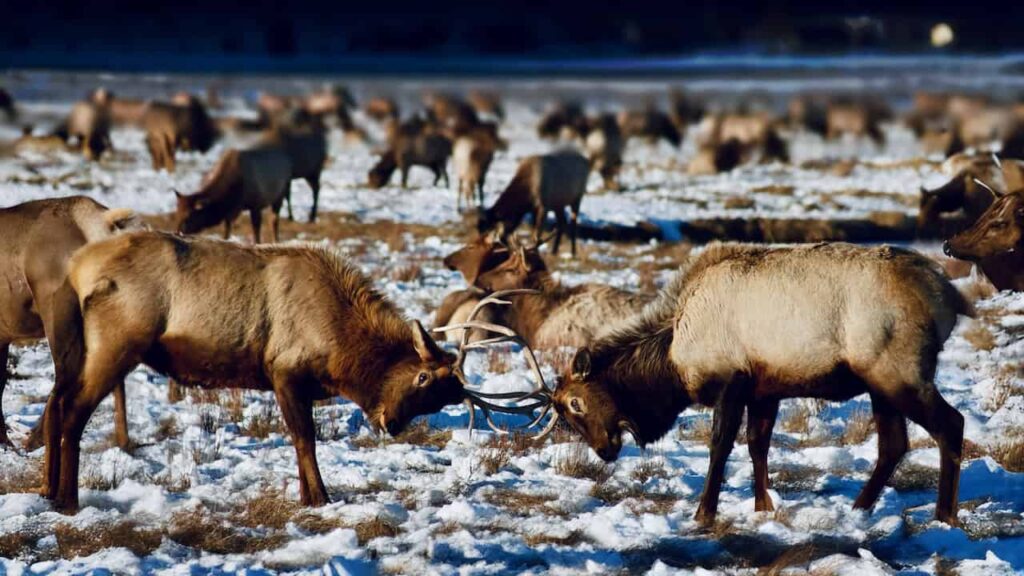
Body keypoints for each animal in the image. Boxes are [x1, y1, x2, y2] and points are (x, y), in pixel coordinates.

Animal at [41, 231, 542, 512]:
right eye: (422, 378)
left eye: (442, 396)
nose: (391, 421)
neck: (341, 350)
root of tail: (75, 269)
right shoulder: (284, 370)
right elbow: (305, 439)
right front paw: (319, 497)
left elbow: (301, 441)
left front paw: (307, 495)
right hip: (118, 343)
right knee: (74, 412)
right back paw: (68, 499)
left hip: (75, 350)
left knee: (54, 402)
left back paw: (48, 491)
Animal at [534, 242, 972, 526]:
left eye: (576, 403)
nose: (604, 449)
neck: (674, 359)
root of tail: (950, 297)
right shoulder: (765, 389)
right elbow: (757, 445)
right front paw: (763, 507)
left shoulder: (733, 380)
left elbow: (721, 445)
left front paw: (704, 512)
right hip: (880, 383)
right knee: (893, 444)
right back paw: (859, 509)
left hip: (897, 372)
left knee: (950, 425)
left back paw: (944, 516)